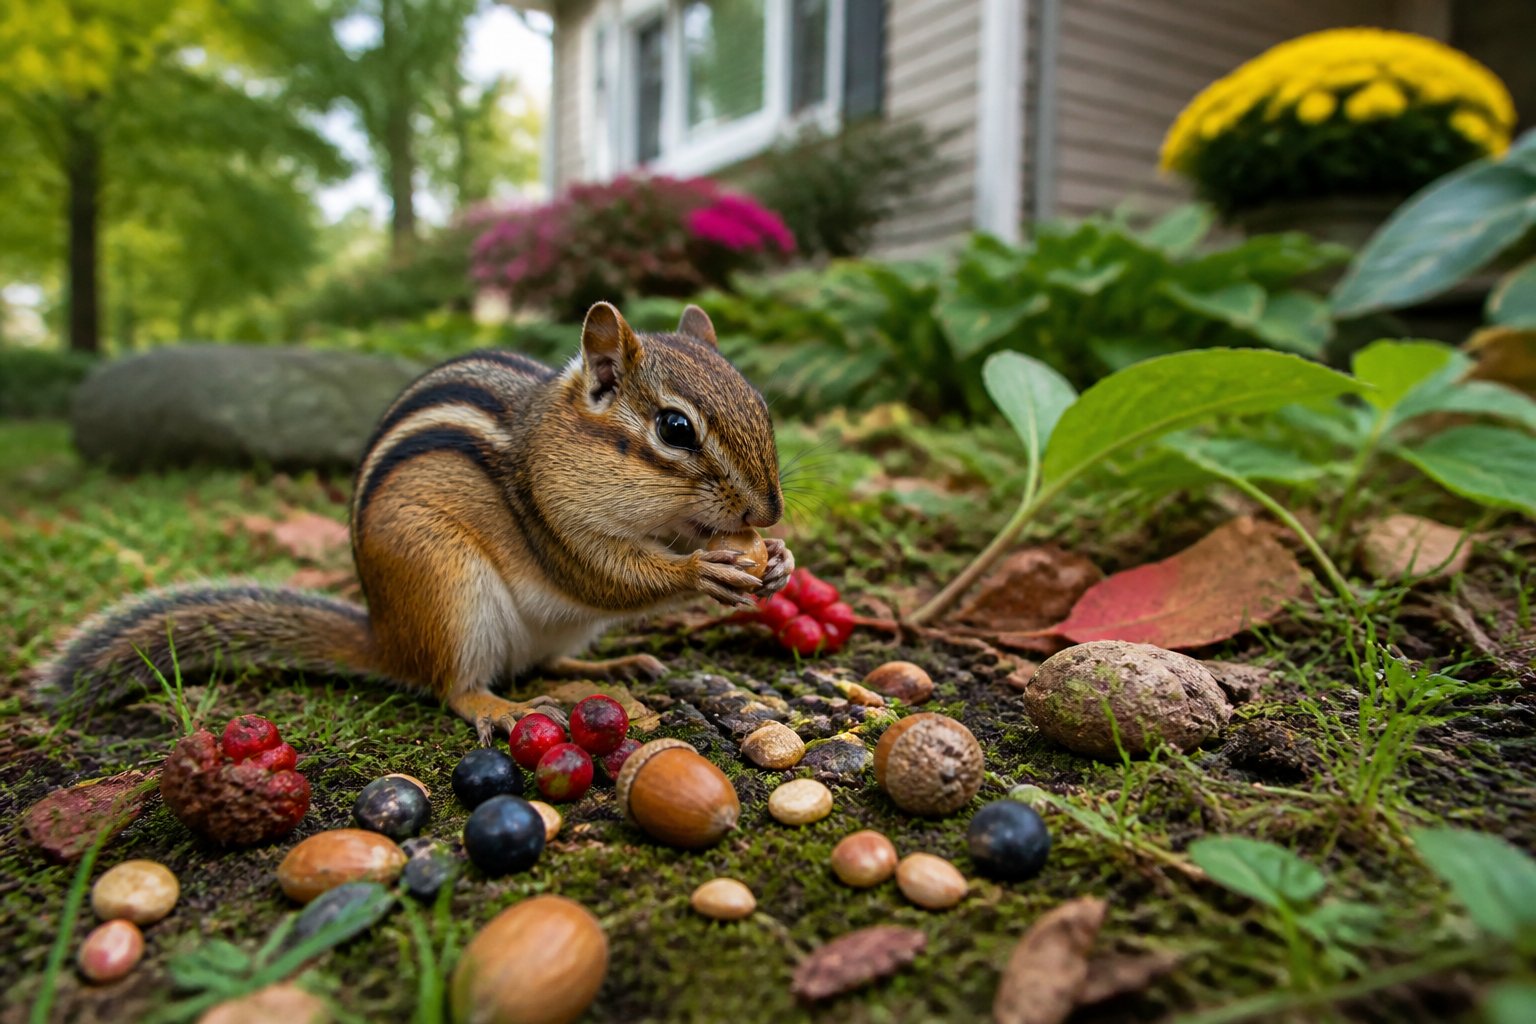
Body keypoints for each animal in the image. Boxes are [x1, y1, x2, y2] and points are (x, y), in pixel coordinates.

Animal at [38, 302, 795, 743]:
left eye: (762, 403)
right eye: (675, 428)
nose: (768, 512)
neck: (550, 440)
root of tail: (388, 638)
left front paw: (778, 560)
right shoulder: (554, 523)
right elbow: (608, 576)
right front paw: (704, 569)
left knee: (546, 660)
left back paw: (613, 661)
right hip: (447, 587)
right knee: (455, 687)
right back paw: (502, 709)